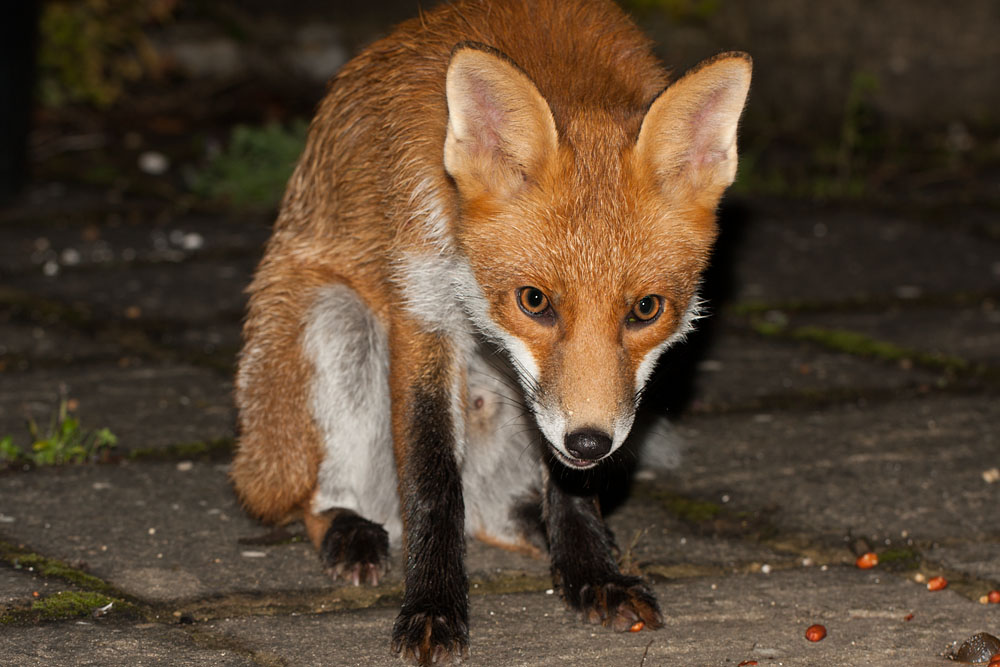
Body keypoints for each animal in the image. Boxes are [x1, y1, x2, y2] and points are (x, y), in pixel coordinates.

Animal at [231, 0, 751, 663]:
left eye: (646, 309)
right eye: (534, 302)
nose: (591, 444)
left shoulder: (581, 410)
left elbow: (570, 488)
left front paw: (592, 572)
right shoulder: (421, 306)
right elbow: (431, 482)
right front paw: (433, 607)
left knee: (495, 513)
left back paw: (545, 531)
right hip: (335, 326)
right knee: (320, 498)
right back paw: (350, 529)